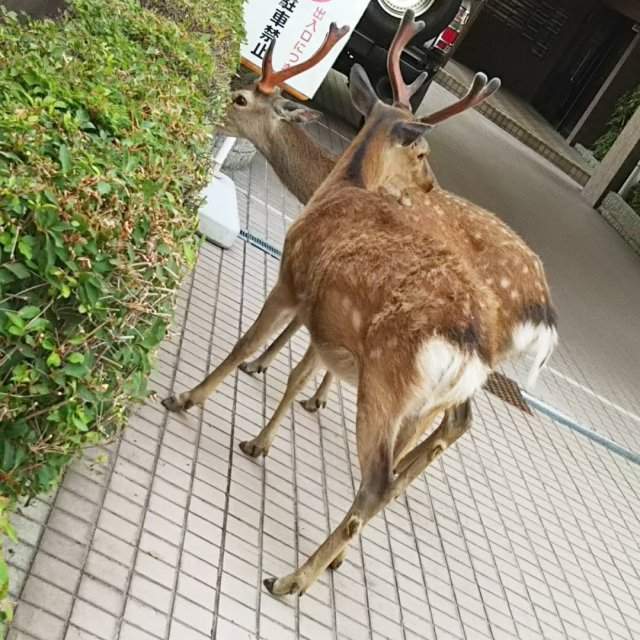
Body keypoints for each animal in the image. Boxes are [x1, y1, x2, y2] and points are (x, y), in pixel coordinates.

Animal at [162, 13, 556, 596]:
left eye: (239, 97)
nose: (211, 104)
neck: (329, 187)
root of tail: (544, 314)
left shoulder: (294, 276)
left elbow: (248, 345)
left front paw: (193, 396)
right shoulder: (328, 308)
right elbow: (302, 363)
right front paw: (273, 422)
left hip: (392, 383)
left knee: (392, 470)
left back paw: (293, 578)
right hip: (428, 391)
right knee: (428, 442)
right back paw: (338, 552)